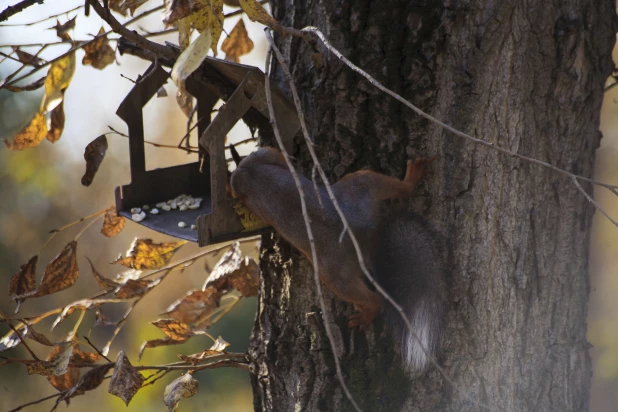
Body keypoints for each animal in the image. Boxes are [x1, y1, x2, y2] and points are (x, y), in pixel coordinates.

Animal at [229, 147, 446, 374]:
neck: (251, 172)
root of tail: (365, 232)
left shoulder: (255, 162)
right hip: (364, 186)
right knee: (401, 190)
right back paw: (414, 175)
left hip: (334, 269)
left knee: (373, 300)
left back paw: (365, 314)